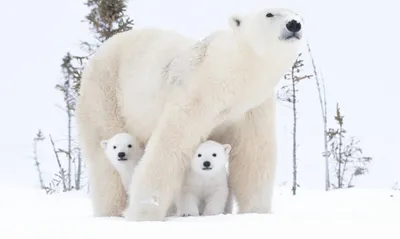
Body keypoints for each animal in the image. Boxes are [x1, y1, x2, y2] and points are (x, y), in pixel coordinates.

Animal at [76, 7, 304, 221]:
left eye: (298, 14)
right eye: (269, 13)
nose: (294, 24)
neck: (230, 79)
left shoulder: (252, 107)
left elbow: (252, 155)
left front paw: (256, 211)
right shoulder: (196, 94)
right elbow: (170, 146)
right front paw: (145, 213)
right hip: (105, 93)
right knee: (106, 159)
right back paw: (111, 211)